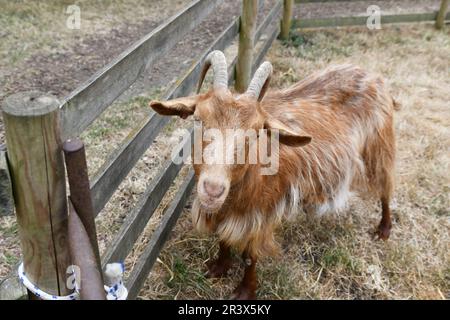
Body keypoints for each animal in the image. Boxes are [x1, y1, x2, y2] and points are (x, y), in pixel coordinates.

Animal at [149, 50, 400, 300]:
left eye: (257, 131)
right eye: (198, 119)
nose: (212, 190)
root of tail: (373, 76)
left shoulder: (263, 212)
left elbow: (251, 255)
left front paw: (245, 291)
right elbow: (223, 239)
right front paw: (219, 268)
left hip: (378, 145)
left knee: (385, 187)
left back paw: (383, 229)